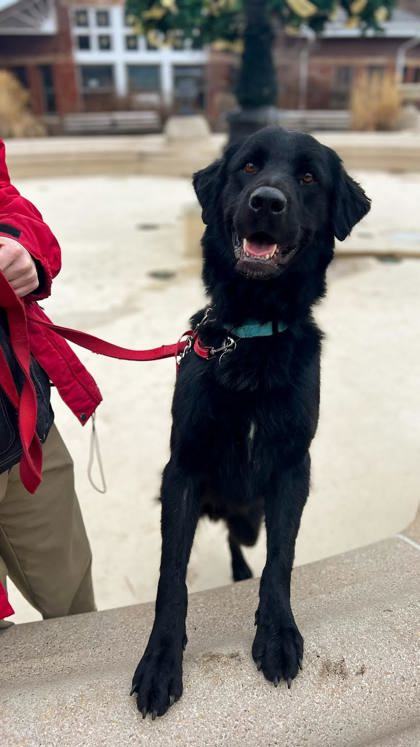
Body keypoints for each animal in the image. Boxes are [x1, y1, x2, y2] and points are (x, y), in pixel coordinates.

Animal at [131, 127, 370, 720]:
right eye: (248, 167)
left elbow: (280, 559)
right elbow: (172, 575)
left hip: (252, 511)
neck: (251, 338)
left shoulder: (291, 468)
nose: (267, 201)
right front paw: (160, 661)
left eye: (308, 176)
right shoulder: (184, 470)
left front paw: (277, 634)